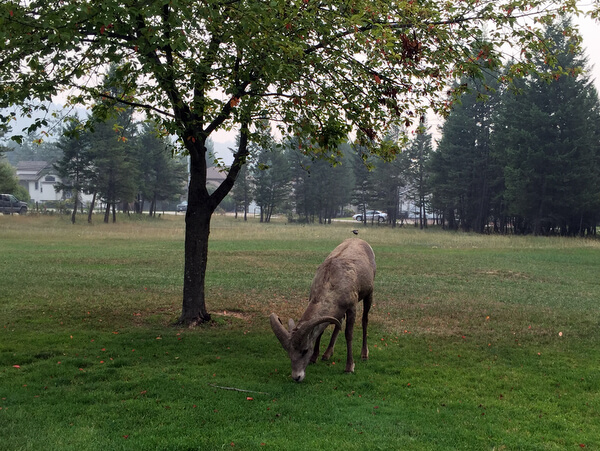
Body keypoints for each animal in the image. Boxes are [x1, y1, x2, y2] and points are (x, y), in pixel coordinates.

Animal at [270, 238, 376, 384]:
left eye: (305, 350)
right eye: (289, 352)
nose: (297, 377)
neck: (331, 283)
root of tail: (362, 241)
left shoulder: (351, 307)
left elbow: (348, 335)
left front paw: (349, 367)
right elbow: (321, 332)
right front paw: (314, 358)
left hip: (369, 294)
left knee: (365, 320)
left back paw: (364, 354)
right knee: (339, 322)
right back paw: (327, 354)